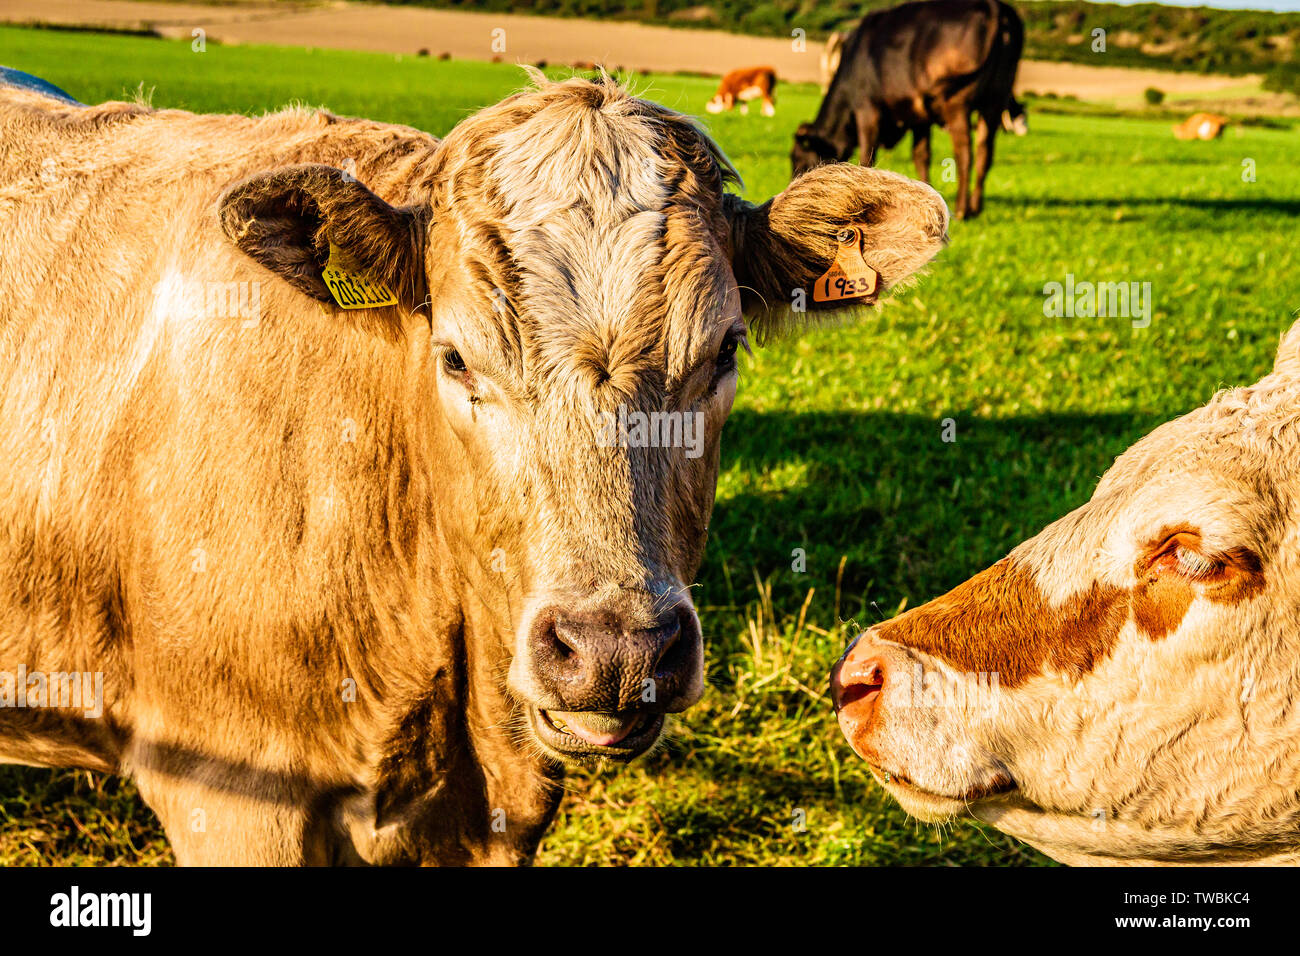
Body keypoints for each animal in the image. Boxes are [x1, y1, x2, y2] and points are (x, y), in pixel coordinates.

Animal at [792, 0, 1025, 220]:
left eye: (798, 159)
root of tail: (994, 6)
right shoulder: (919, 118)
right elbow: (921, 157)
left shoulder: (868, 110)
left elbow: (867, 157)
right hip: (995, 101)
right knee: (985, 153)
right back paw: (975, 208)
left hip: (957, 105)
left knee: (964, 155)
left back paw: (962, 209)